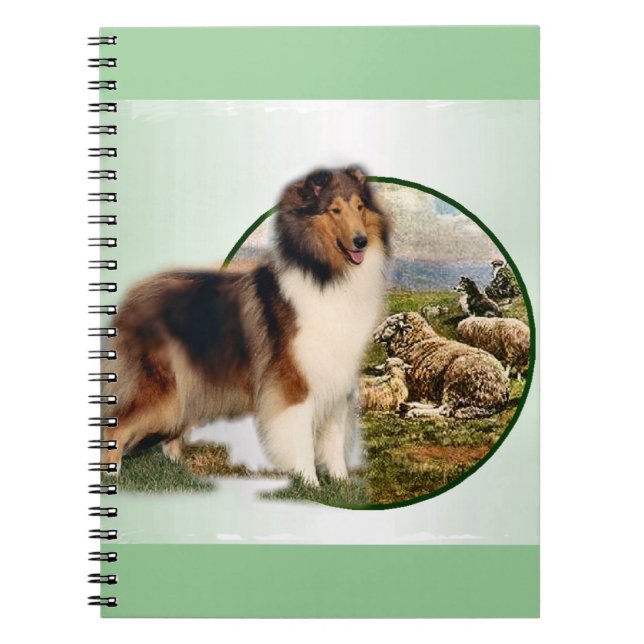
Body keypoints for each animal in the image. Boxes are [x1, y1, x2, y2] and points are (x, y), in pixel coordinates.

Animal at [372, 312, 510, 419]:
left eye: (390, 324)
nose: (373, 335)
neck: (414, 343)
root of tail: (501, 392)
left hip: (454, 382)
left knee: (445, 409)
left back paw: (414, 411)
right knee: (438, 404)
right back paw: (409, 406)